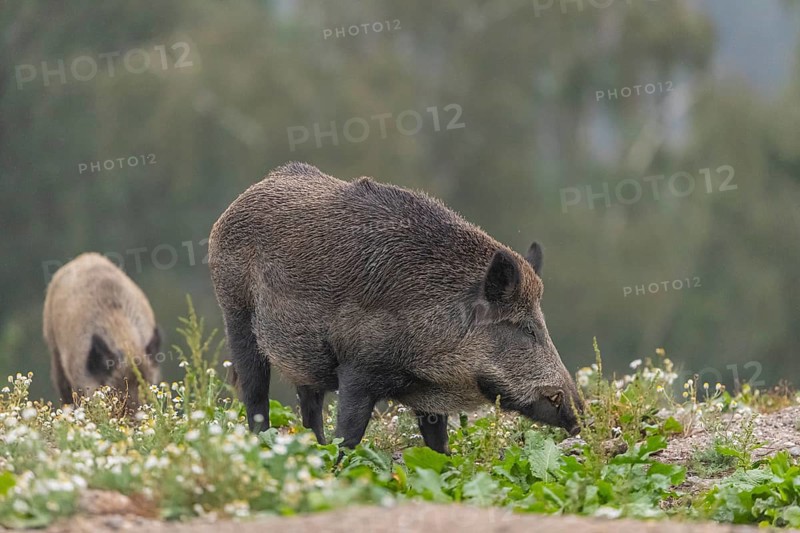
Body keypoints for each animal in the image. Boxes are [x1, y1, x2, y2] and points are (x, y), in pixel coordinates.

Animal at [208, 162, 582, 454]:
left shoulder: (427, 398)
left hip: (303, 356)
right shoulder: (357, 369)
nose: (580, 415)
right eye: (525, 328)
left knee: (309, 405)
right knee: (255, 395)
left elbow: (437, 445)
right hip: (236, 313)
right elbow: (350, 435)